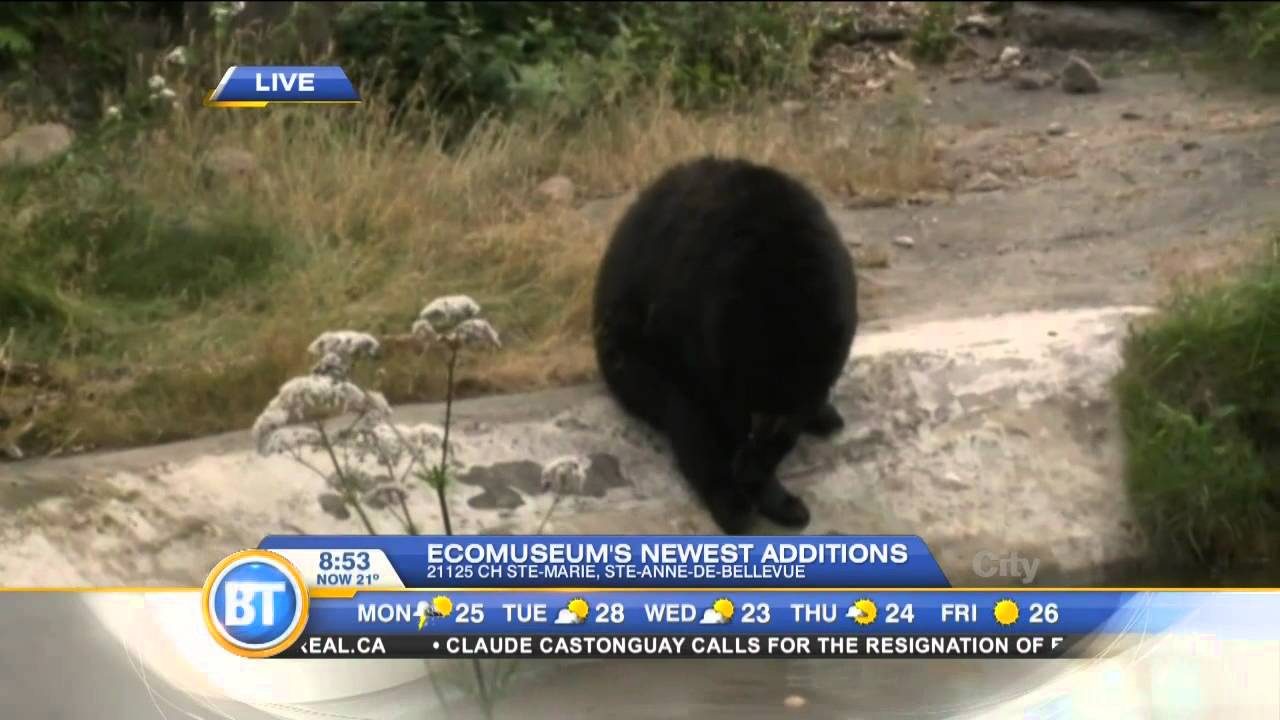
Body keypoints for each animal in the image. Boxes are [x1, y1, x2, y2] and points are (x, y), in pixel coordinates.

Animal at [592, 155, 858, 535]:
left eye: (775, 421)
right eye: (751, 415)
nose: (747, 471)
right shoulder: (698, 329)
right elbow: (706, 414)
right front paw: (761, 490)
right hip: (629, 356)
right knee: (684, 415)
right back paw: (733, 505)